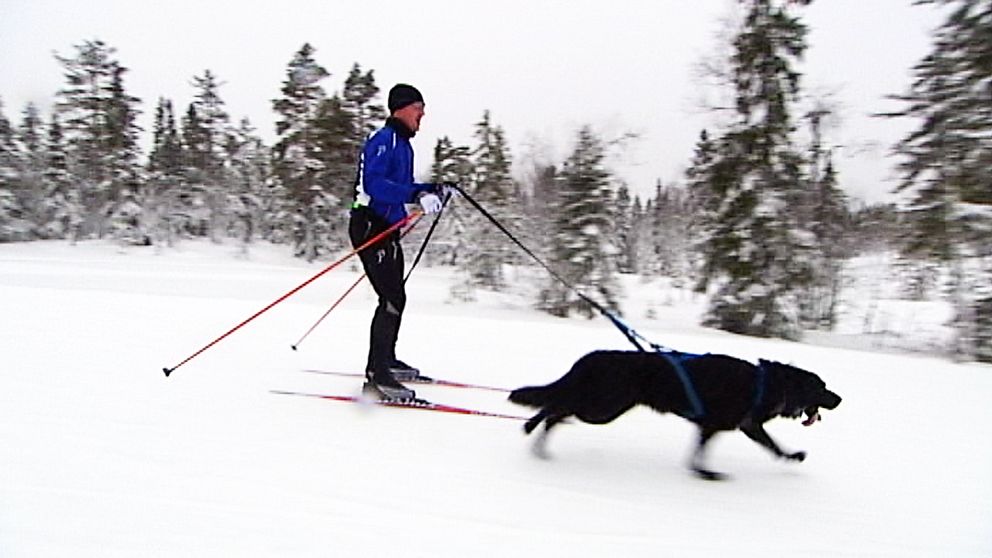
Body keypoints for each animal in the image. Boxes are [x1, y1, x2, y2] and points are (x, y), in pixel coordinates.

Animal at [512, 352, 844, 480]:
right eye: (822, 387)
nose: (840, 399)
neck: (766, 383)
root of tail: (590, 358)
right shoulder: (714, 427)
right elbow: (698, 455)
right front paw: (705, 474)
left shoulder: (743, 426)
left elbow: (773, 446)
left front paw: (792, 456)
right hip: (602, 407)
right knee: (556, 405)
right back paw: (531, 428)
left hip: (601, 405)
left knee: (557, 407)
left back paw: (535, 438)